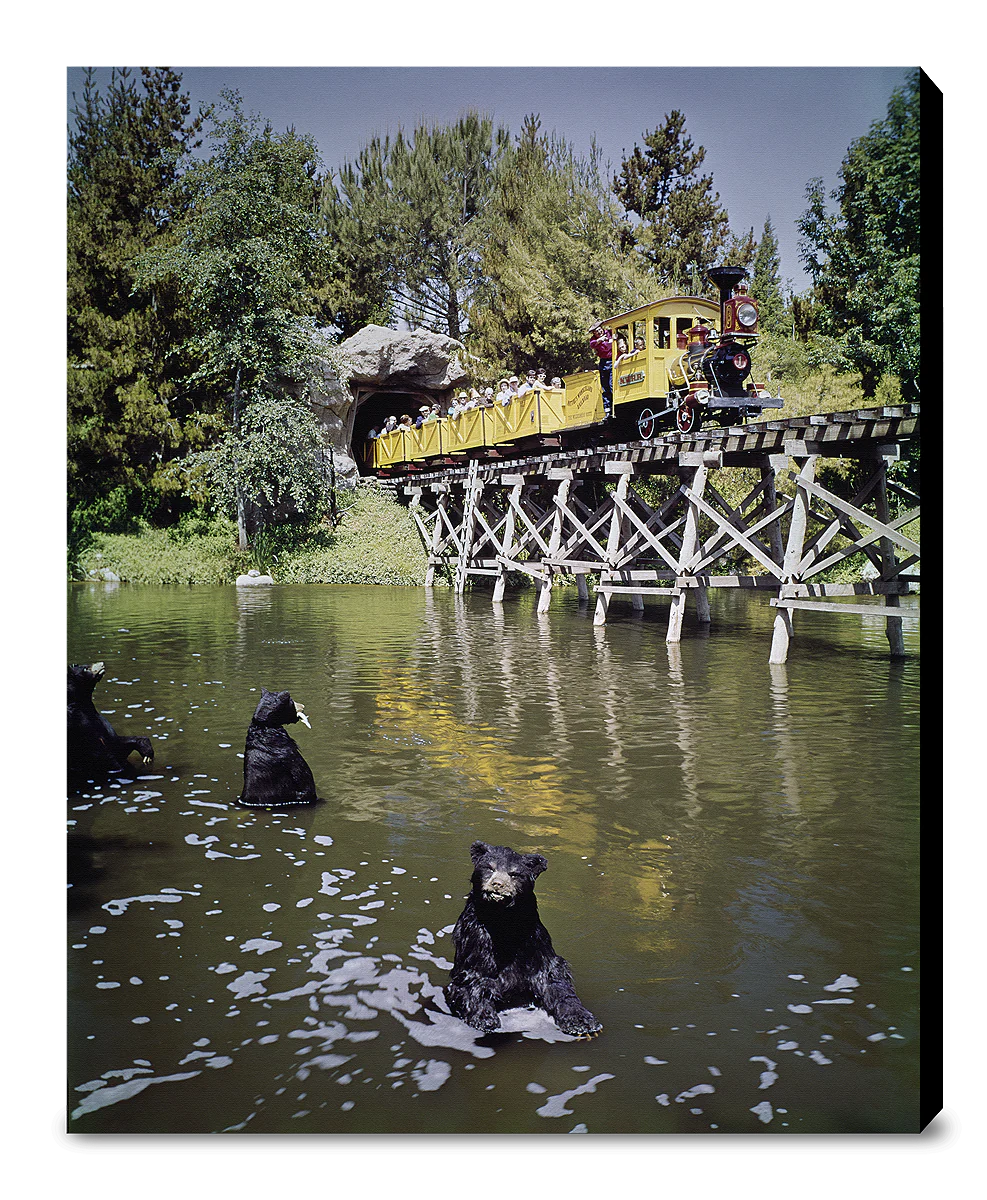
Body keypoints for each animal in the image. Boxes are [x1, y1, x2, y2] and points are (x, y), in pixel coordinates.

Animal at [445, 840, 602, 1038]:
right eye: (489, 868)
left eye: (514, 873)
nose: (497, 884)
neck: (503, 921)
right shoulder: (476, 940)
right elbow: (473, 979)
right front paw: (485, 1018)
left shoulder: (534, 942)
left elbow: (554, 979)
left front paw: (583, 1023)